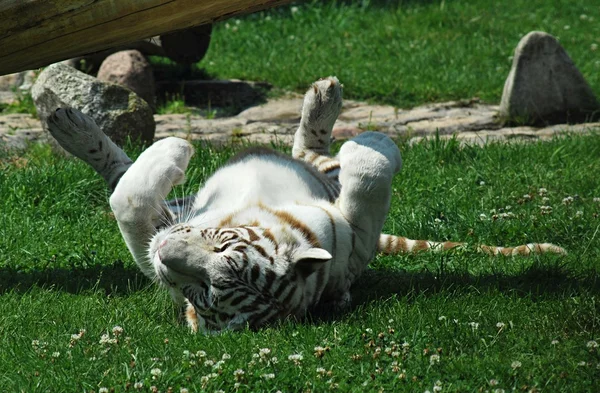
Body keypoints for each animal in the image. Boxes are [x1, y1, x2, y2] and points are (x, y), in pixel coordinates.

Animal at [48, 76, 568, 330]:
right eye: (221, 246)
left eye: (202, 292)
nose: (164, 257)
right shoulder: (166, 219)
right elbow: (129, 196)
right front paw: (173, 148)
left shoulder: (358, 238)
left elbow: (367, 186)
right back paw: (66, 121)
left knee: (316, 153)